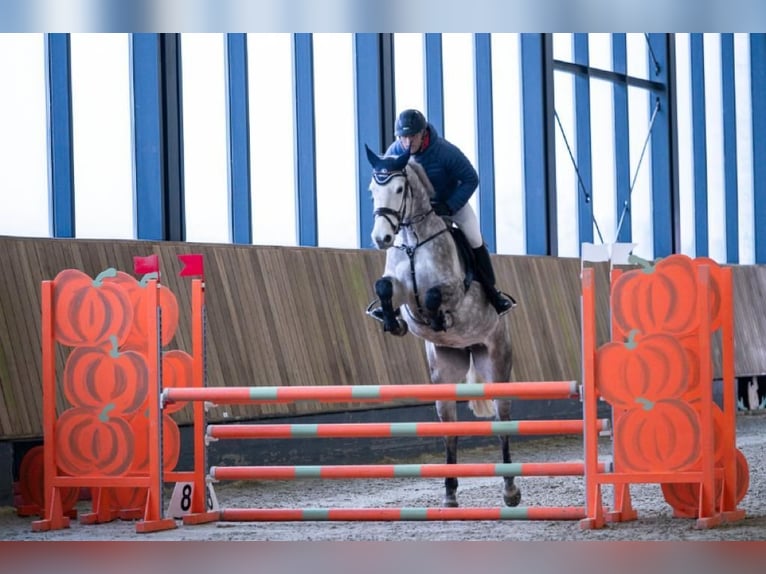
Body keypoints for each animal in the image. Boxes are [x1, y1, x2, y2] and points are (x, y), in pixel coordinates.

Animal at [366, 146, 520, 510]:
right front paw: (391, 322)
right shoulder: (404, 295)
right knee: (450, 427)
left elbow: (435, 295)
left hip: (496, 360)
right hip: (445, 368)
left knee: (502, 419)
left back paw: (510, 490)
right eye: (372, 190)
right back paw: (449, 492)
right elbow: (384, 286)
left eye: (399, 189)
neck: (412, 241)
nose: (382, 238)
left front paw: (439, 319)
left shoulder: (452, 290)